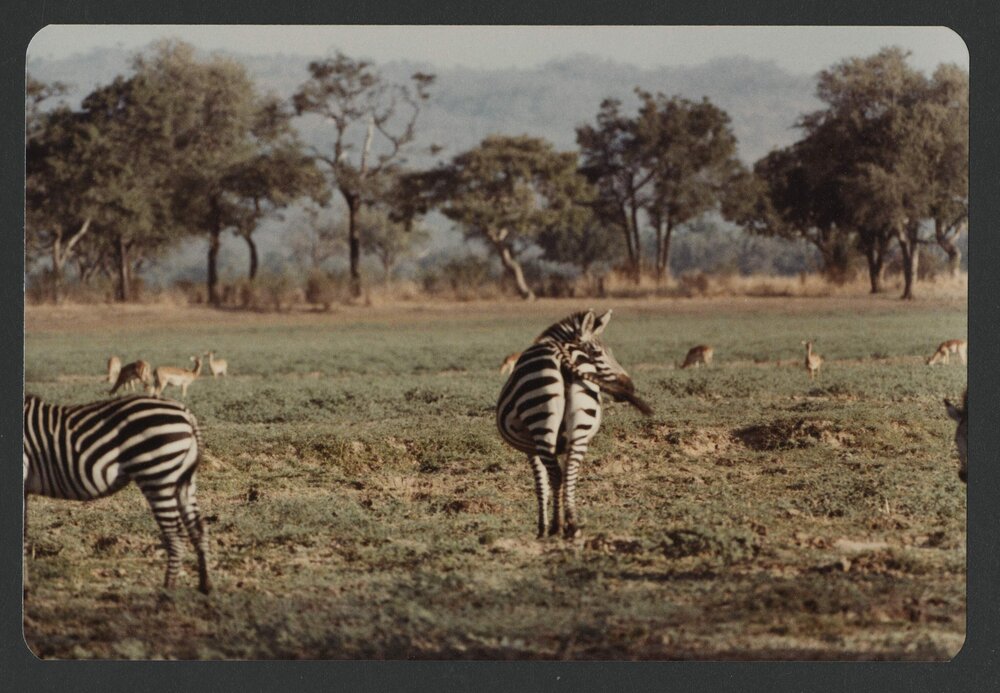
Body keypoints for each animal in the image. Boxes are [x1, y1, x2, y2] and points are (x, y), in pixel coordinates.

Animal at [23, 394, 211, 594]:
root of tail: (186, 413)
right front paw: (25, 588)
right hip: (184, 480)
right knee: (198, 528)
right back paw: (205, 585)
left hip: (157, 475)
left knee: (175, 535)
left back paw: (167, 591)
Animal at [496, 309, 652, 539]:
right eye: (598, 353)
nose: (629, 386)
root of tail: (562, 352)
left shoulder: (530, 448)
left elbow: (541, 484)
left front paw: (542, 528)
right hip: (581, 424)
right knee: (569, 471)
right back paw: (572, 525)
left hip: (541, 422)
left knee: (556, 475)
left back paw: (557, 526)